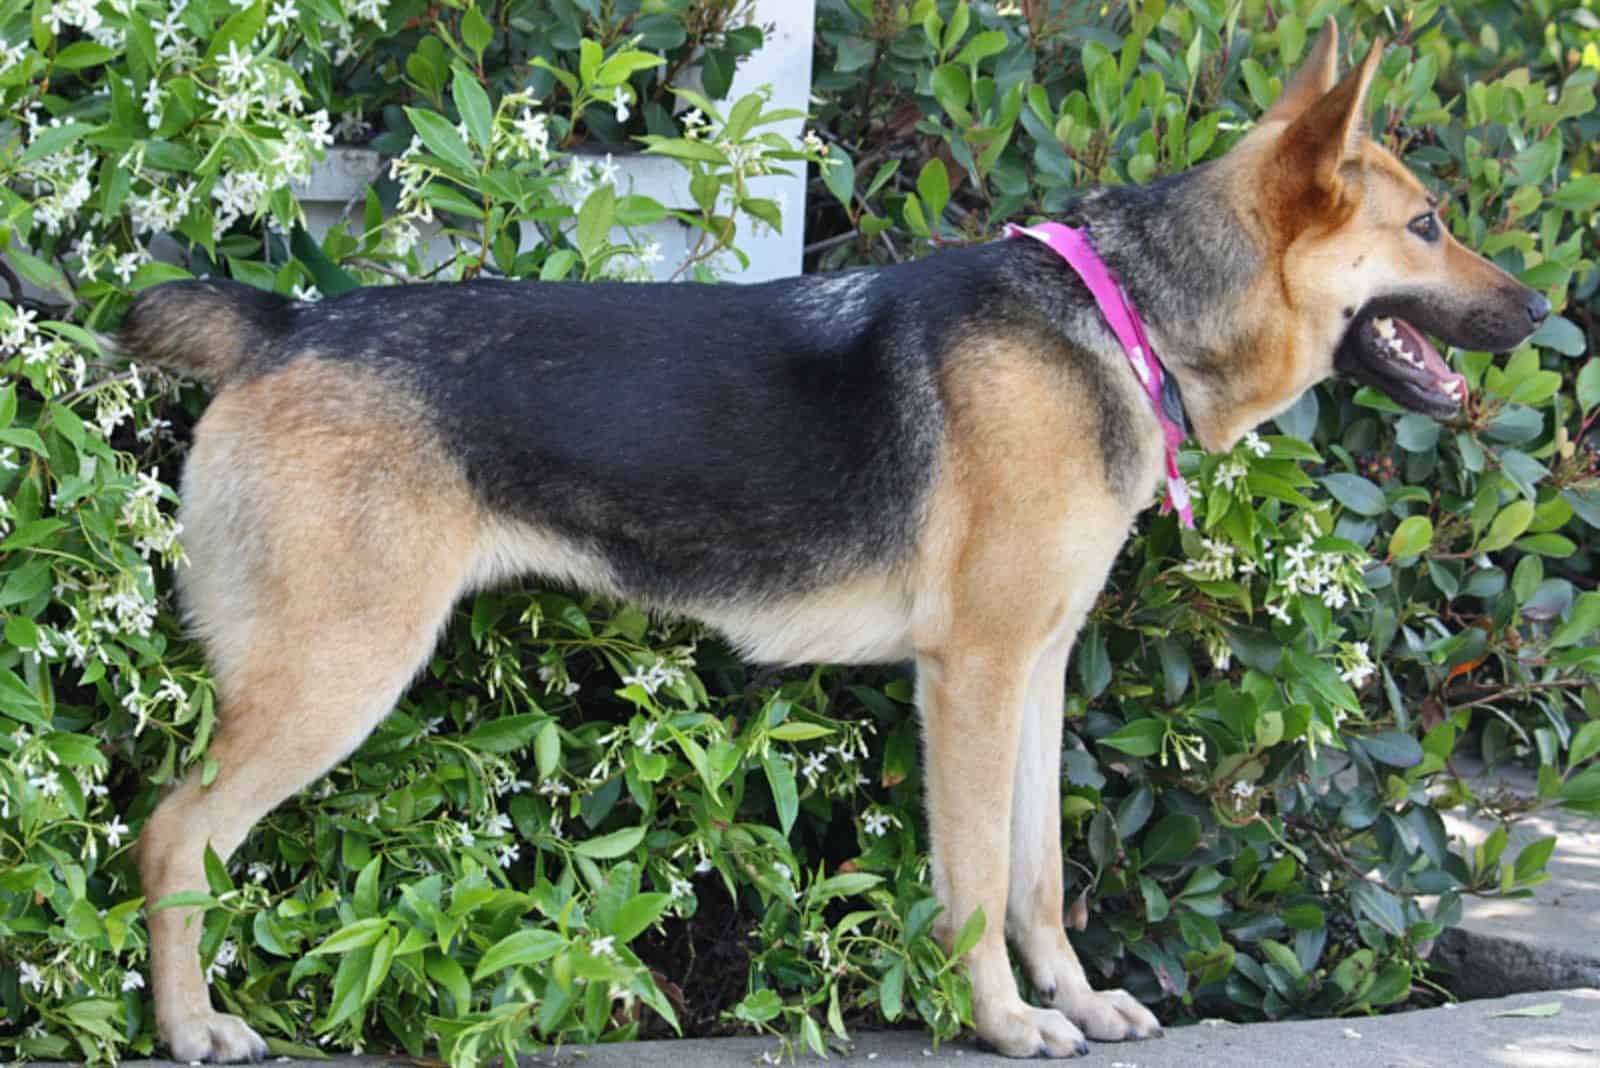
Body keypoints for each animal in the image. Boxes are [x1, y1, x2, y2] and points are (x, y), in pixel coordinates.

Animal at [124, 20, 1548, 1061]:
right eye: (1427, 226)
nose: (1543, 312)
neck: (1124, 314)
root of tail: (282, 324)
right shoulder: (971, 680)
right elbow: (974, 877)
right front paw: (1003, 1021)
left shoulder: (1033, 676)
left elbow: (1037, 874)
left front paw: (1075, 1001)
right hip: (335, 675)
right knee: (174, 834)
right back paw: (193, 1026)